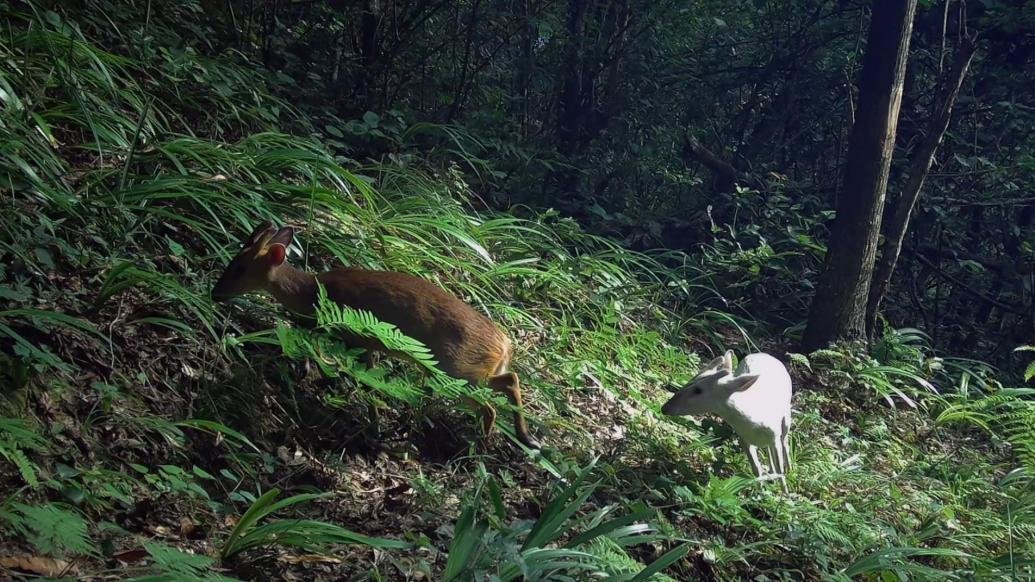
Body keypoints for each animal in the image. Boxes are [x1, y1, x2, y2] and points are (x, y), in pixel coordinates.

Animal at [211, 219, 542, 445]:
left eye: (239, 268)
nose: (215, 293)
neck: (311, 292)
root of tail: (506, 344)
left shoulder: (350, 333)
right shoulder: (367, 342)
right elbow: (368, 379)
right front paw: (375, 425)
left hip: (456, 368)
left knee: (491, 405)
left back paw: (483, 444)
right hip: (465, 370)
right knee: (510, 380)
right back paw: (526, 436)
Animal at [662, 347, 790, 488]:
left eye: (698, 390)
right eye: (691, 379)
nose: (665, 408)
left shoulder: (775, 436)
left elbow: (780, 470)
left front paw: (784, 492)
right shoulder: (743, 439)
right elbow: (756, 469)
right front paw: (760, 489)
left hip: (787, 415)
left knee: (785, 440)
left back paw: (789, 467)